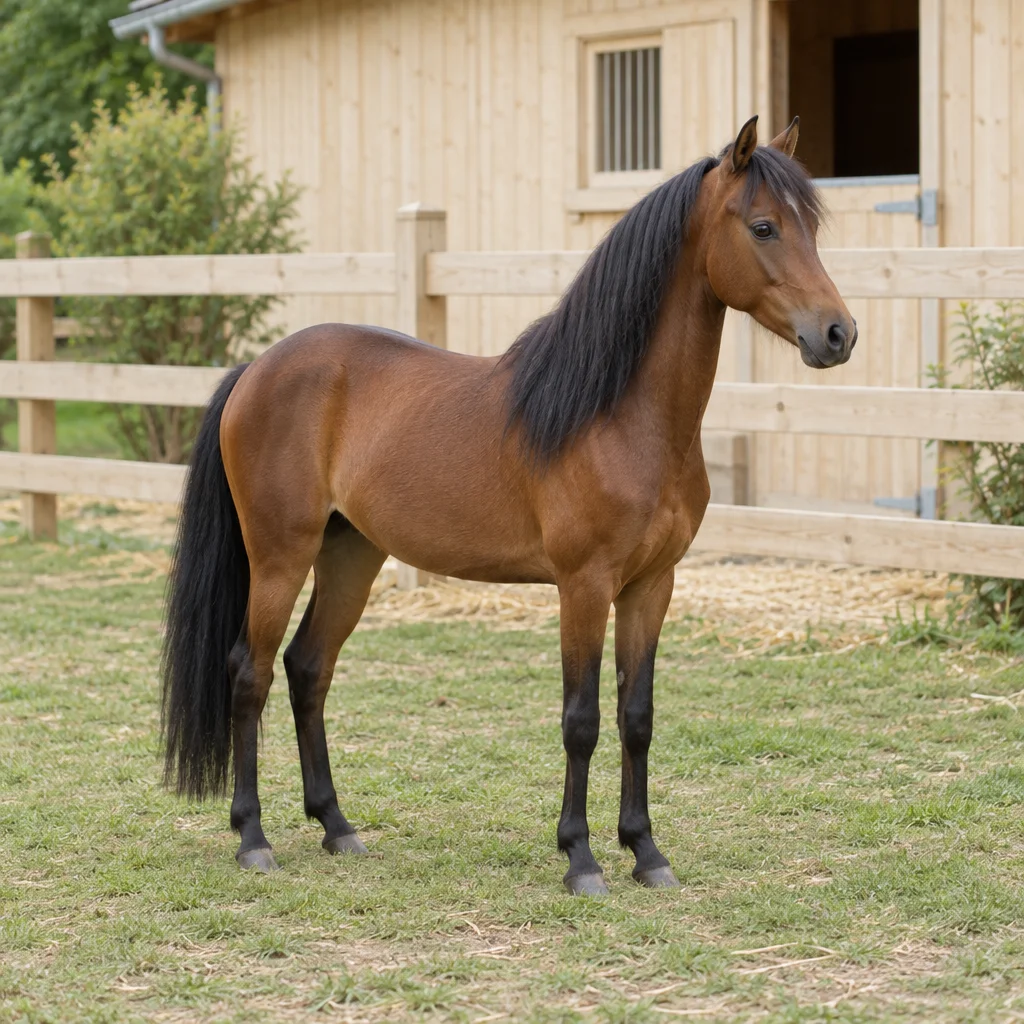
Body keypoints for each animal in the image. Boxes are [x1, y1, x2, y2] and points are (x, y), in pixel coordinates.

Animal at [162, 115, 855, 895]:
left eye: (812, 227)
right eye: (764, 226)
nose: (838, 334)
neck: (620, 415)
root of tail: (256, 368)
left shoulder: (652, 585)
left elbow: (637, 715)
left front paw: (646, 852)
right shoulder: (583, 586)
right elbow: (581, 719)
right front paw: (581, 857)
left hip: (351, 555)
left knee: (309, 669)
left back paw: (337, 827)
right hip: (280, 556)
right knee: (248, 675)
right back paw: (253, 838)